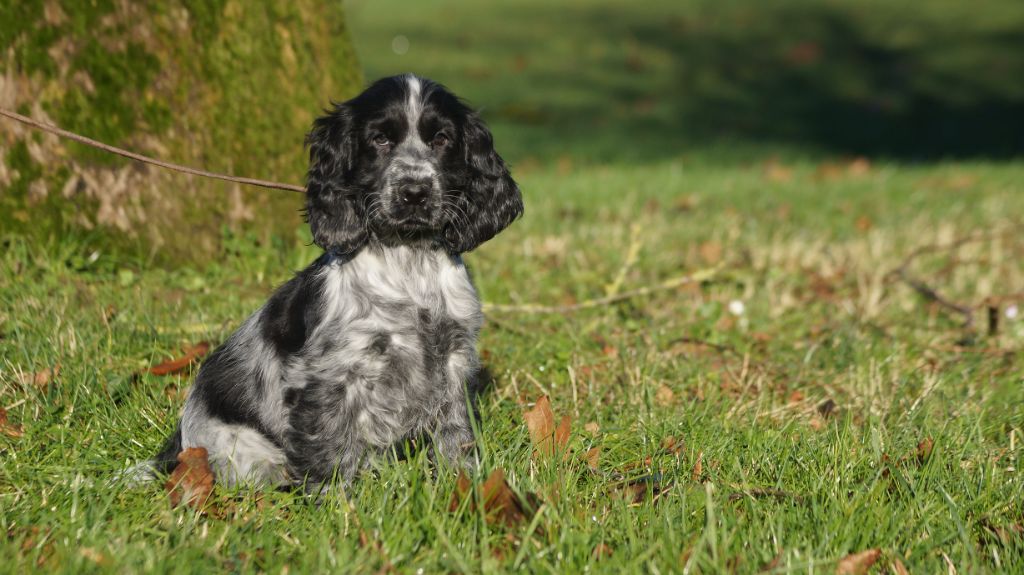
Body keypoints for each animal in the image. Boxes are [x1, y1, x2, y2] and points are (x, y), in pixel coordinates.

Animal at [148, 73, 524, 491]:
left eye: (441, 139)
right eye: (380, 140)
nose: (414, 192)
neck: (408, 261)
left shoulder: (455, 356)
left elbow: (456, 431)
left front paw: (461, 483)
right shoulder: (331, 372)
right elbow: (327, 441)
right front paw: (338, 501)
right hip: (243, 450)